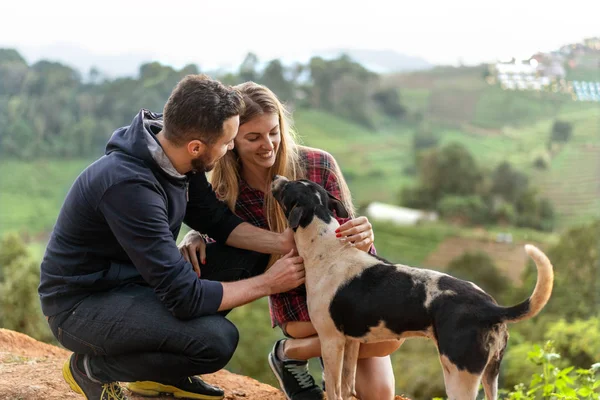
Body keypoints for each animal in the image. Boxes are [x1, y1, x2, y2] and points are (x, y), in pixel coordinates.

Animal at [272, 177, 552, 400]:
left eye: (287, 186)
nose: (276, 177)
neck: (326, 246)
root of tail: (489, 307)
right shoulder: (350, 341)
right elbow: (347, 385)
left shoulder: (331, 340)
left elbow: (334, 389)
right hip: (490, 373)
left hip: (458, 372)